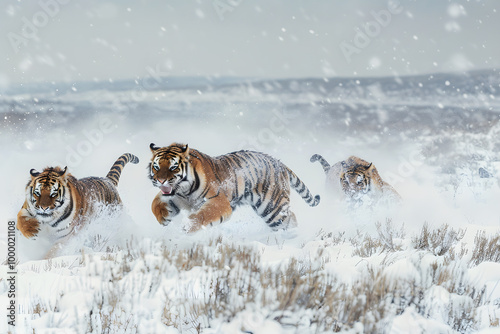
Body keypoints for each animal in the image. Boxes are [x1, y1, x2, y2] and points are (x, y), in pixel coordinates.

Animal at [148, 143, 320, 232]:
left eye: (173, 167)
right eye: (156, 167)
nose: (161, 180)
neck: (184, 190)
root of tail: (279, 162)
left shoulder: (219, 201)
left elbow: (204, 214)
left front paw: (188, 226)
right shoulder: (175, 196)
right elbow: (155, 203)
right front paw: (163, 217)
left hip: (272, 208)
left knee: (290, 220)